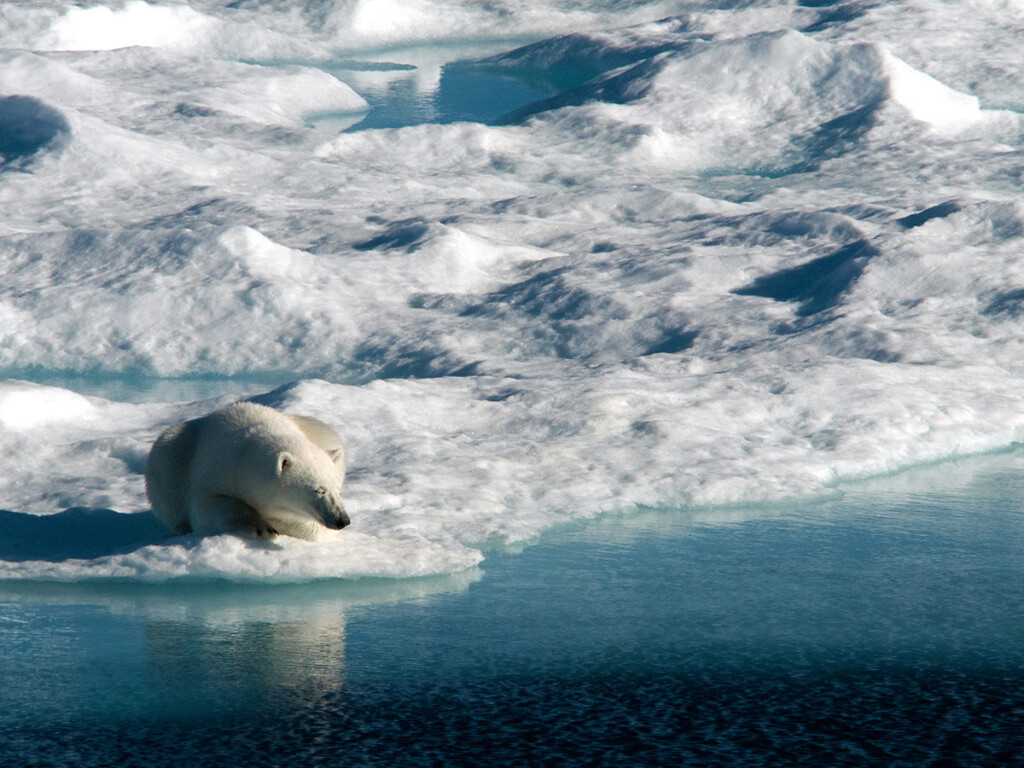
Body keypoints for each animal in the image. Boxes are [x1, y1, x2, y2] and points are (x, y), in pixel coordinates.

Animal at [145, 402, 350, 541]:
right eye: (319, 490)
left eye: (337, 489)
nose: (342, 520)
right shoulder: (218, 470)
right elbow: (207, 505)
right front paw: (260, 527)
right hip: (171, 456)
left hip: (322, 432)